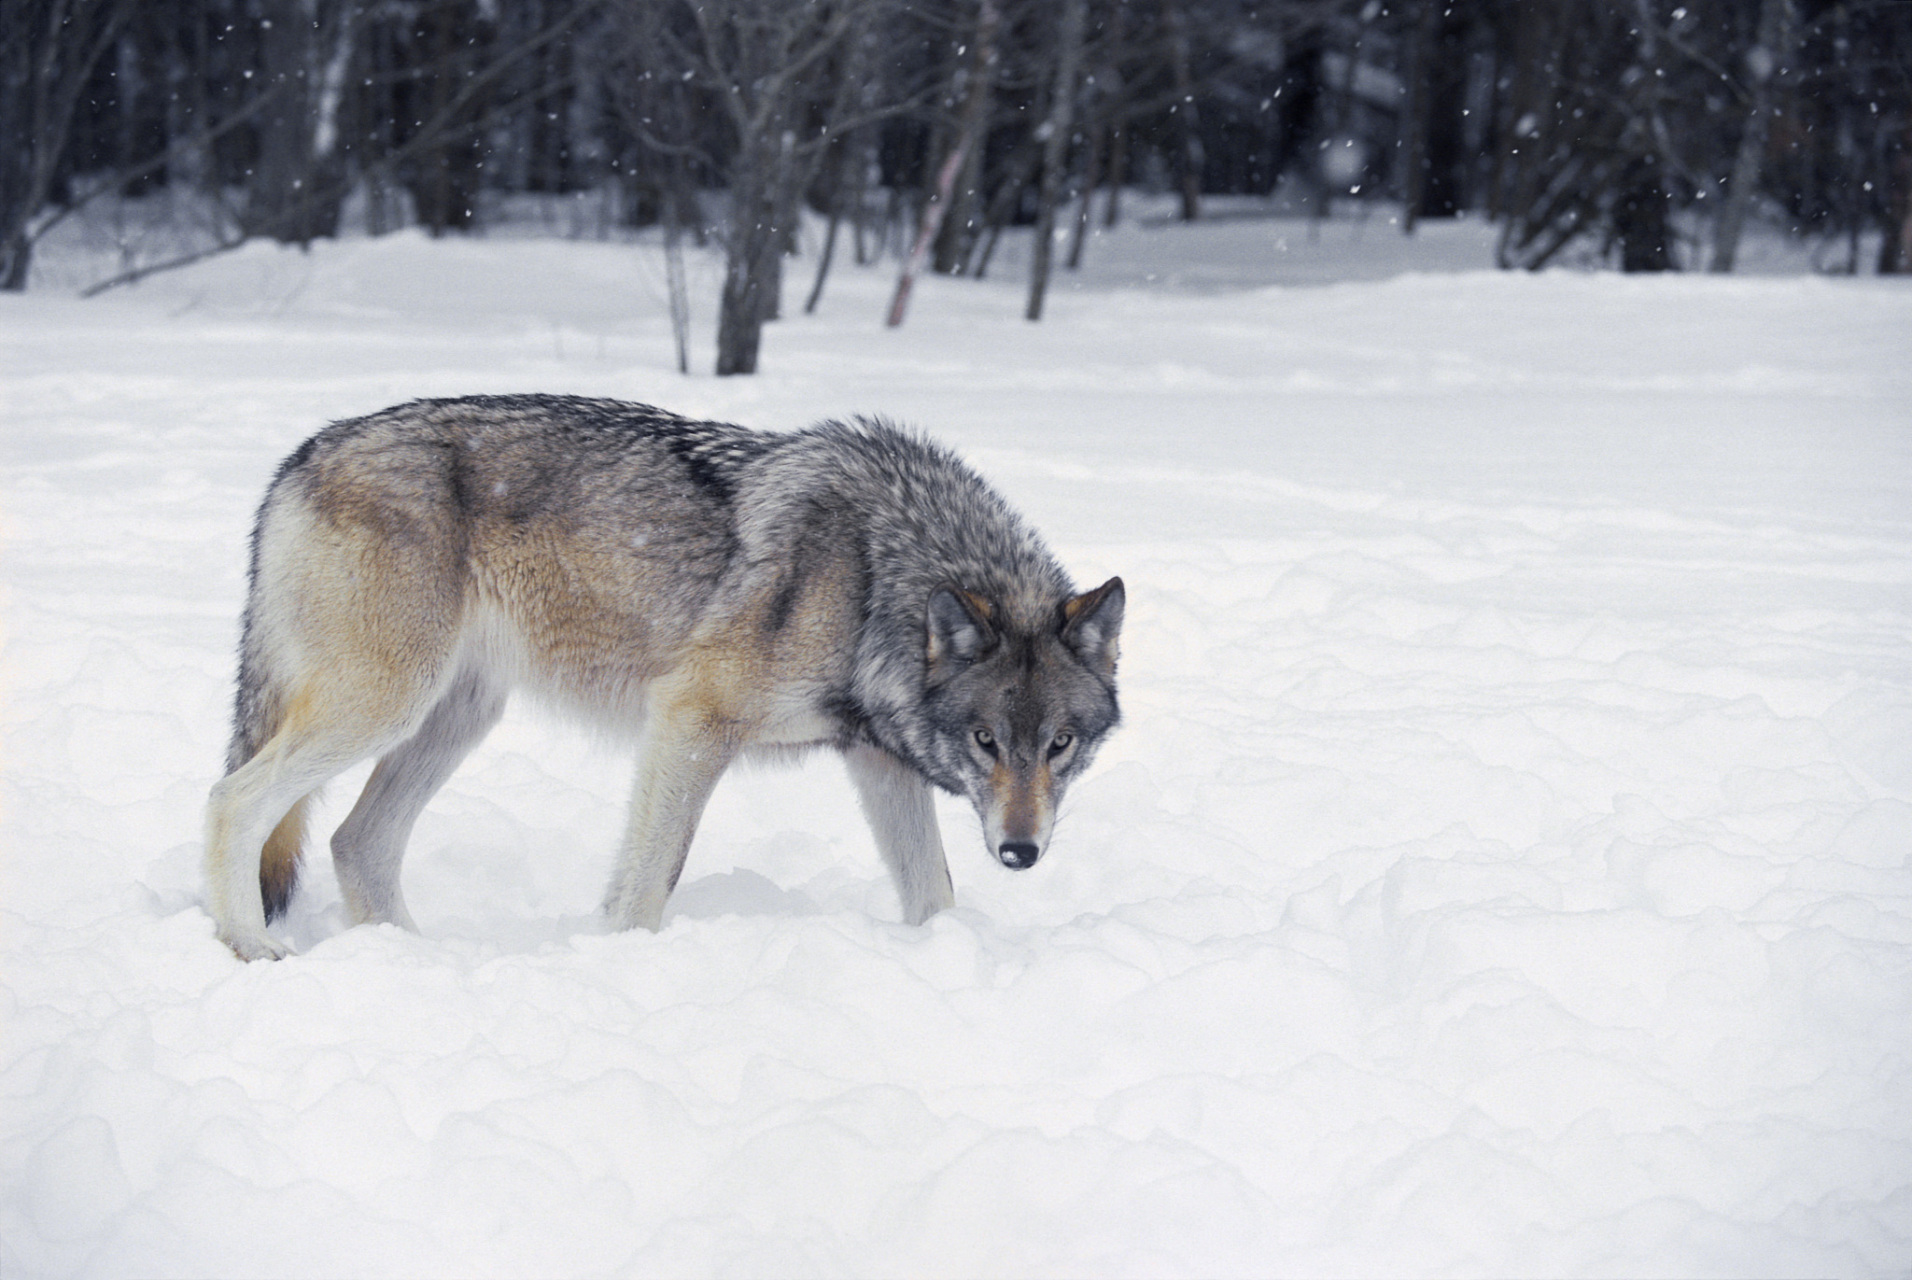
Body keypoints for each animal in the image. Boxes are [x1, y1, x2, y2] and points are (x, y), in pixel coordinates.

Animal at [201, 396, 1116, 956]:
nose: (1022, 851)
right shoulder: (689, 718)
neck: (874, 574)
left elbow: (936, 896)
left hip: (453, 718)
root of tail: (299, 458)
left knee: (356, 843)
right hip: (385, 706)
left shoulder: (876, 761)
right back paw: (251, 944)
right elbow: (647, 883)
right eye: (986, 740)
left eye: (1060, 745)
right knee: (233, 799)